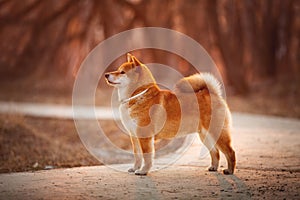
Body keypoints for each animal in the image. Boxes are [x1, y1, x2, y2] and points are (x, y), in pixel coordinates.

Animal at [104, 53, 236, 175]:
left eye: (122, 72)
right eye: (118, 70)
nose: (106, 75)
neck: (138, 95)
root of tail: (212, 93)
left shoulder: (145, 136)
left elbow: (147, 157)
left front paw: (143, 171)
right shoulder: (134, 136)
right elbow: (138, 156)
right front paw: (135, 168)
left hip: (217, 133)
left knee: (230, 152)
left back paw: (229, 170)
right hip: (205, 135)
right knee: (215, 152)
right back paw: (213, 167)